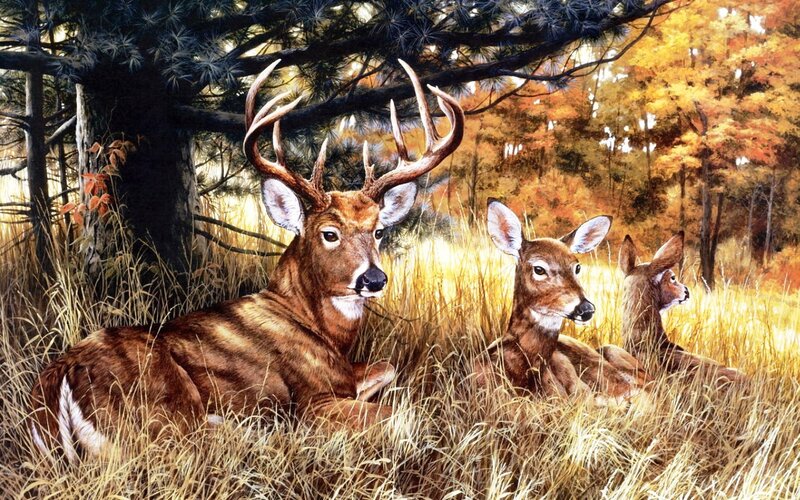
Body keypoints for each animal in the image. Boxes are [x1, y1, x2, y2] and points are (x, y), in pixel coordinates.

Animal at [29, 59, 464, 463]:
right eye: (329, 233)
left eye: (378, 231)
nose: (373, 279)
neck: (316, 325)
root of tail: (58, 384)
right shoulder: (313, 399)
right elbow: (403, 414)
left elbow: (387, 367)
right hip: (166, 409)